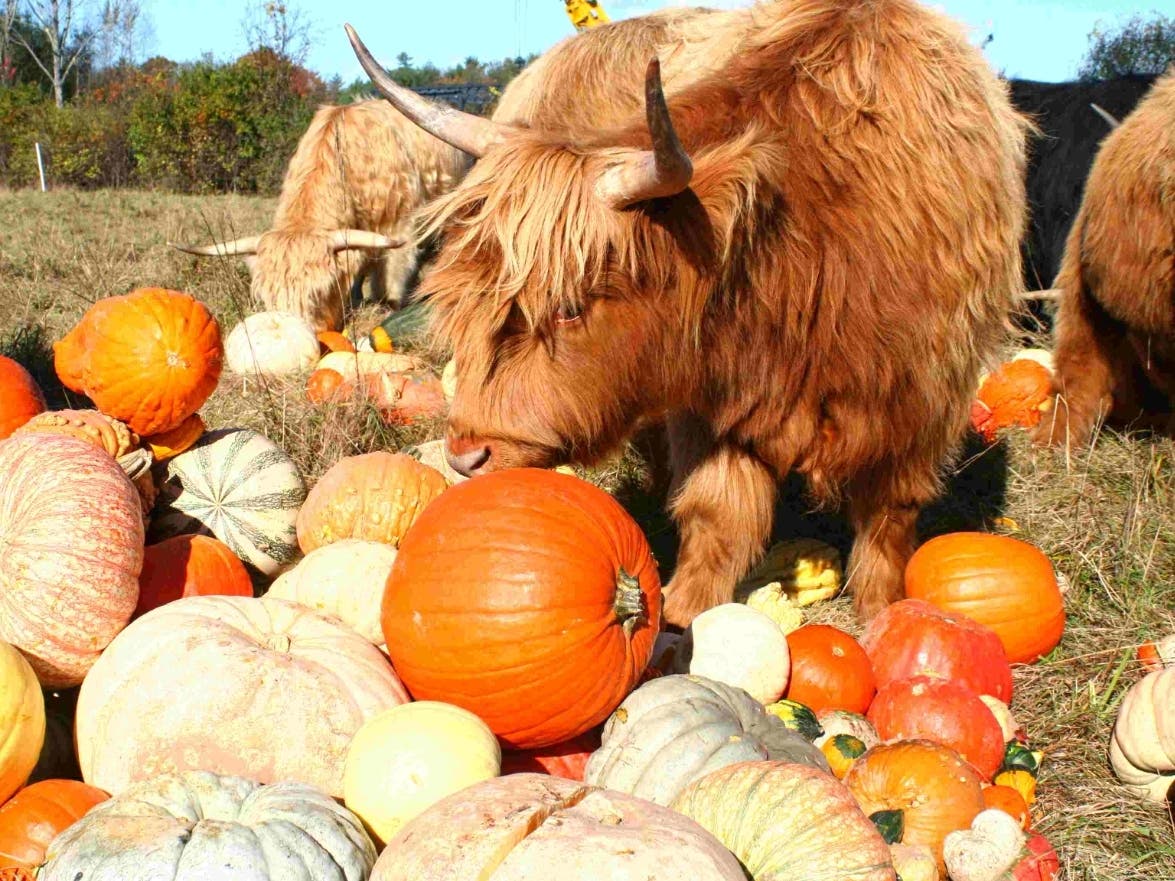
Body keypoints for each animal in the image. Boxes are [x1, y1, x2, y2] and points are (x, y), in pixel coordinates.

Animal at [345, 0, 1032, 629]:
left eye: (568, 309)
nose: (466, 456)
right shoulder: (712, 403)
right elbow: (716, 513)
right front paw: (680, 616)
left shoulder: (922, 402)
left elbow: (889, 521)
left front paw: (884, 615)